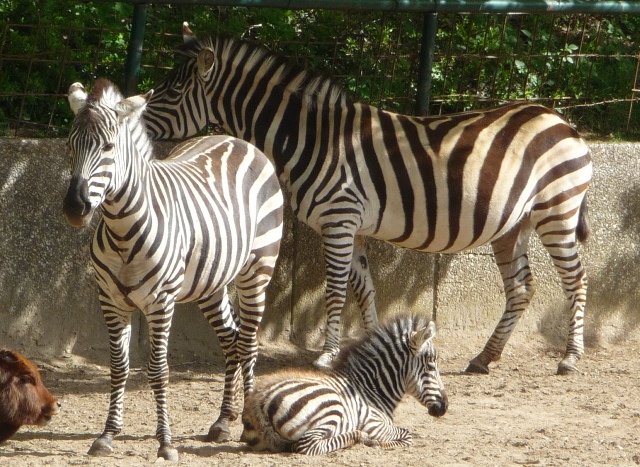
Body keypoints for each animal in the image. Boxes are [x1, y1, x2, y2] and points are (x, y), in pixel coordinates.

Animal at [63, 78, 283, 461]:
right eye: (70, 145)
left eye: (107, 147)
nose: (75, 207)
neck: (122, 230)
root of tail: (237, 140)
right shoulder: (110, 300)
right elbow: (119, 366)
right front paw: (107, 434)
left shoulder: (160, 302)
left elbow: (158, 370)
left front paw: (165, 442)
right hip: (211, 283)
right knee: (231, 338)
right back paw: (223, 421)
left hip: (257, 271)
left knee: (248, 342)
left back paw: (247, 422)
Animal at [143, 24, 592, 376]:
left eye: (173, 90)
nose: (137, 124)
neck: (313, 139)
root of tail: (559, 120)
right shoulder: (351, 226)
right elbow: (365, 289)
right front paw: (371, 346)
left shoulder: (338, 219)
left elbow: (336, 290)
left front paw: (326, 356)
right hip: (513, 224)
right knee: (521, 288)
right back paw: (486, 357)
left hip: (557, 211)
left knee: (575, 279)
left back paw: (570, 358)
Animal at [242, 315, 447, 455]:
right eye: (431, 366)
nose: (444, 407)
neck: (371, 389)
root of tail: (259, 400)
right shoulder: (374, 424)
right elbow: (407, 435)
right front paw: (379, 442)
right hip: (331, 407)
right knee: (308, 445)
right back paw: (362, 438)